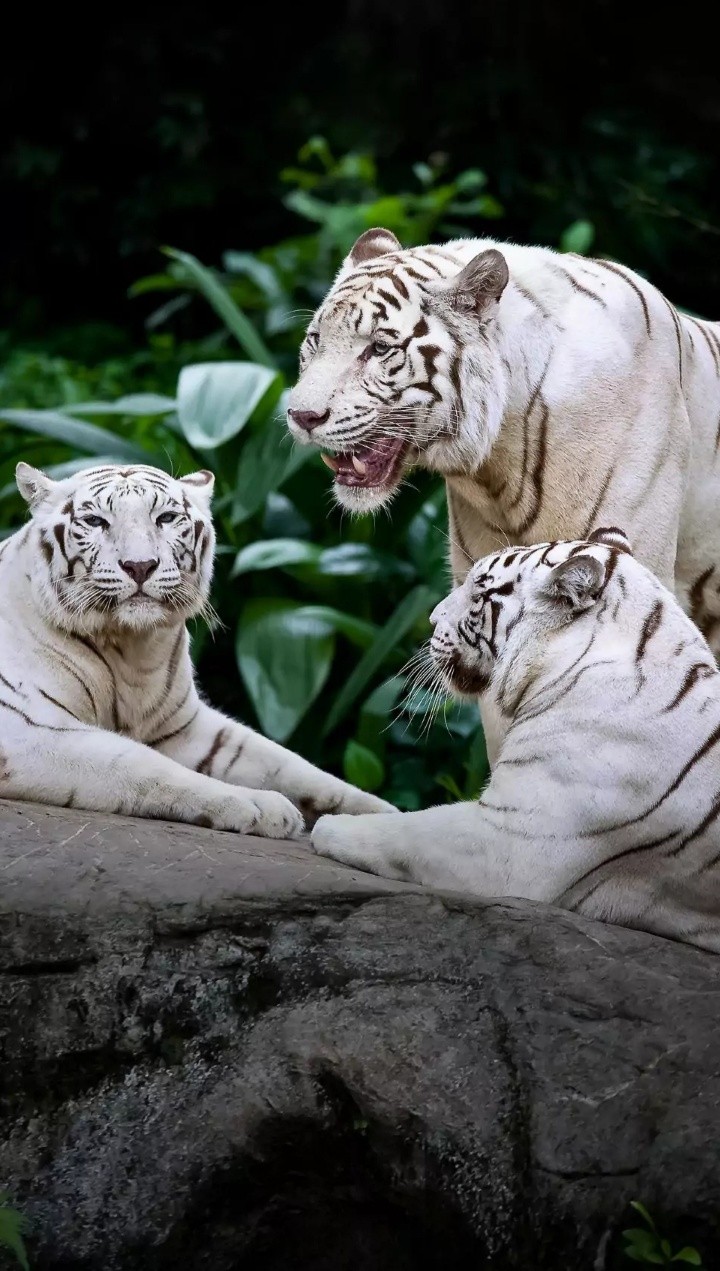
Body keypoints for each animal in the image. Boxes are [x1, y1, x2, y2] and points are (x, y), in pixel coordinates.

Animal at [0, 462, 392, 836]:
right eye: (96, 521)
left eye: (165, 518)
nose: (140, 566)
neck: (131, 649)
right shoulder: (26, 731)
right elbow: (141, 764)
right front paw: (262, 806)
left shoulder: (186, 726)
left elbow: (290, 764)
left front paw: (385, 818)